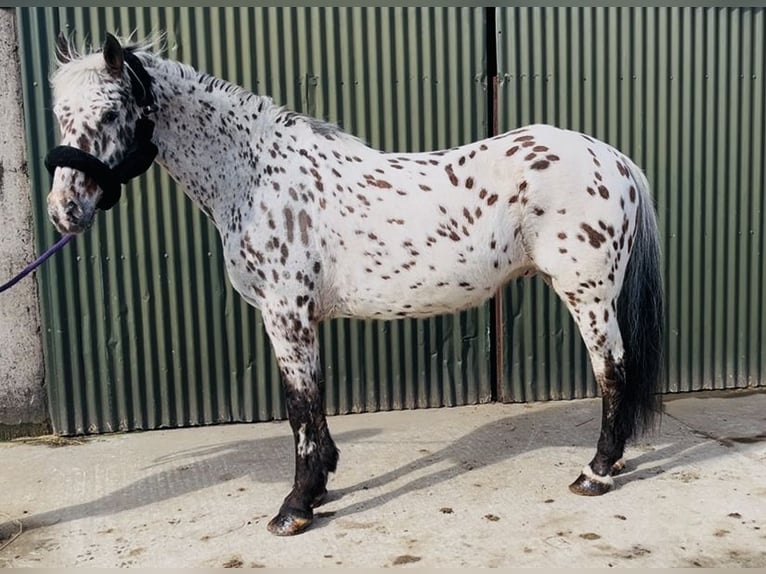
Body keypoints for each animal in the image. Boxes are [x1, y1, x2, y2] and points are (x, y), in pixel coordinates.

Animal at [45, 33, 664, 536]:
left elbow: (299, 406)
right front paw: (318, 490)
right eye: (60, 113)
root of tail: (613, 158)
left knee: (612, 371)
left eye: (110, 112)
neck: (256, 177)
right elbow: (312, 402)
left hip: (587, 293)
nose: (63, 211)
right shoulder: (300, 320)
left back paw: (596, 473)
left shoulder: (286, 315)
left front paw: (295, 508)